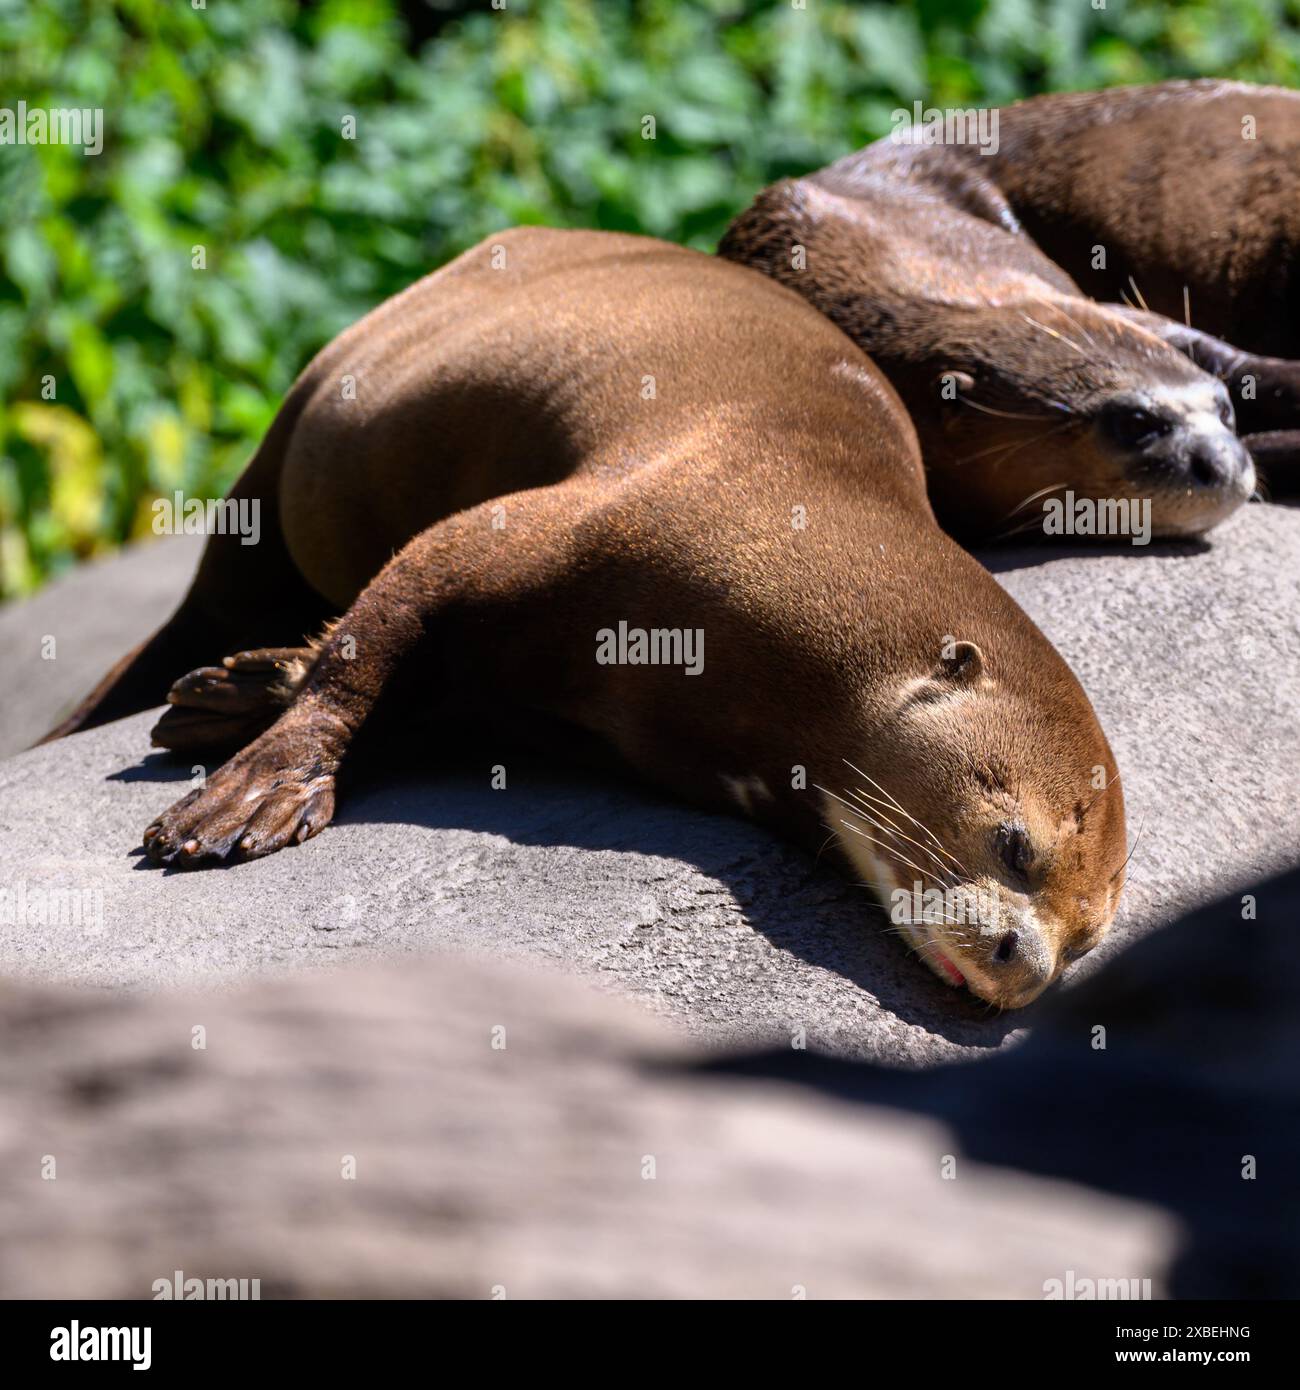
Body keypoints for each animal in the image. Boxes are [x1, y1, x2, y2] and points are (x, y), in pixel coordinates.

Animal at [45, 230, 1126, 1009]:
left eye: (1084, 941)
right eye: (1015, 845)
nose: (1024, 967)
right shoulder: (538, 530)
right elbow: (374, 636)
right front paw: (249, 797)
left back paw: (224, 689)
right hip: (277, 468)